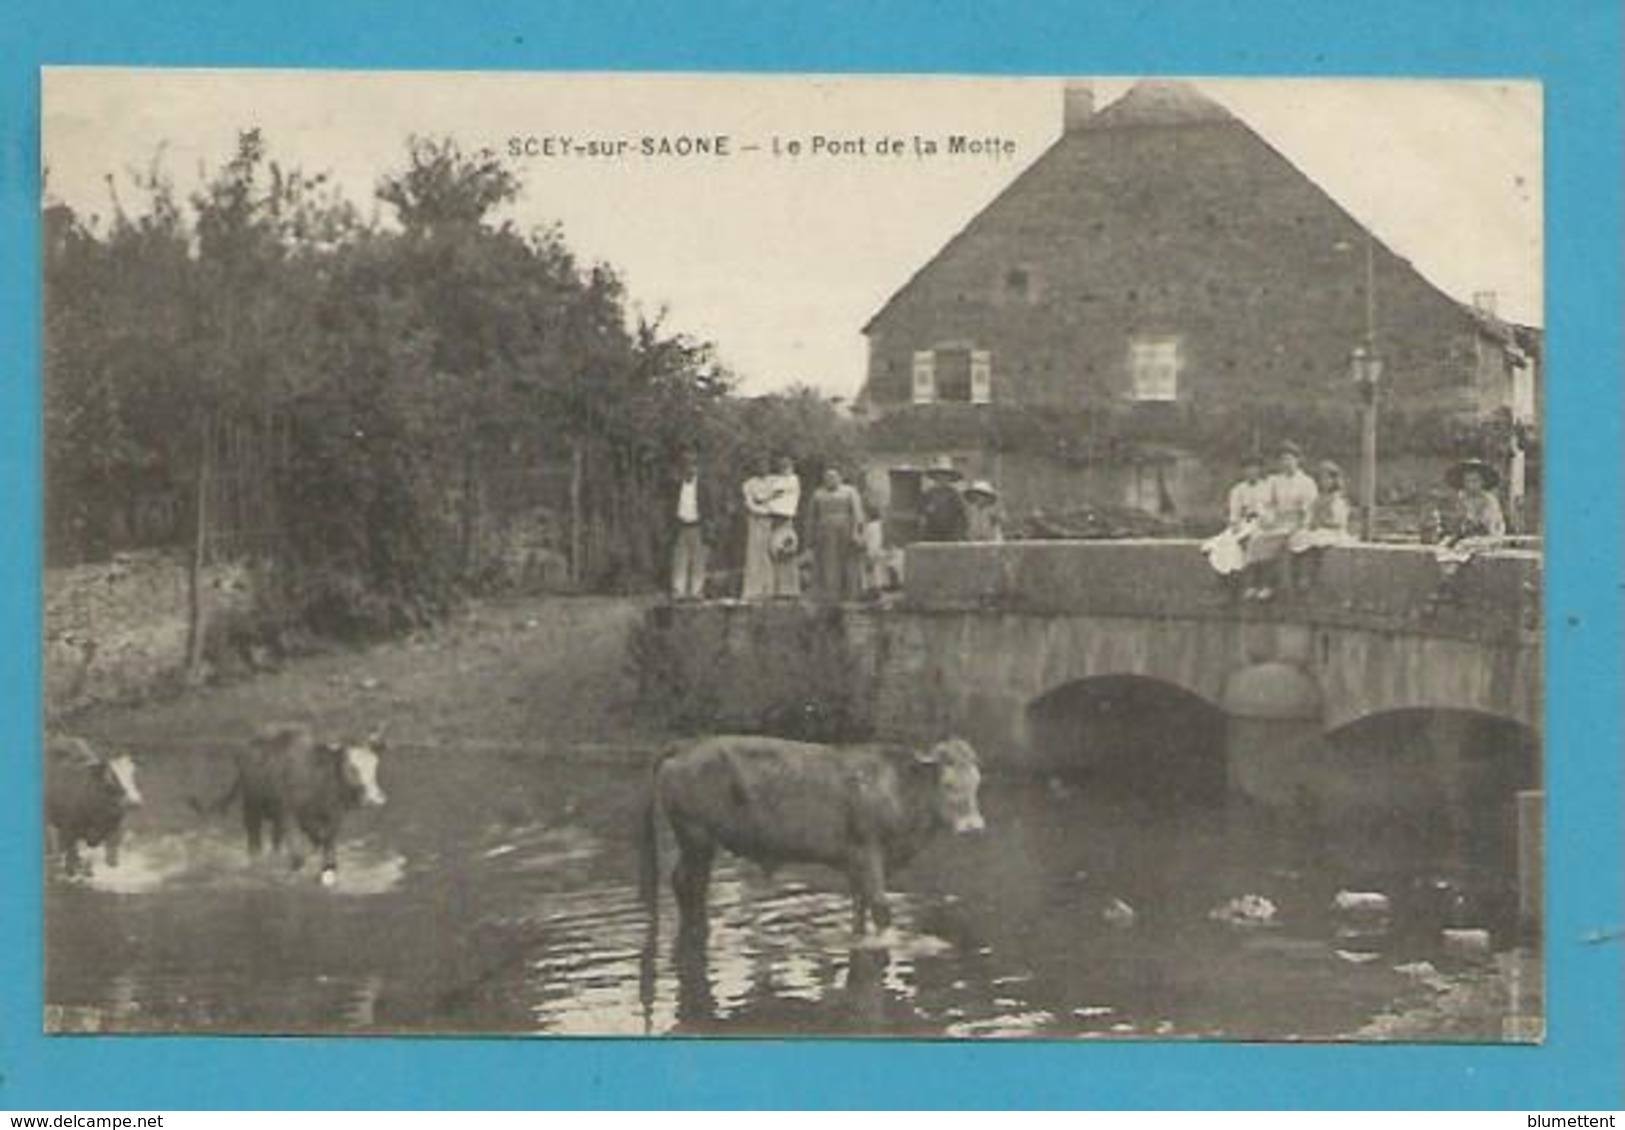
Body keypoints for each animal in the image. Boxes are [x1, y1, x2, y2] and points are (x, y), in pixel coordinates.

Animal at [43, 738, 143, 877]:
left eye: (132, 775)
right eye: (108, 780)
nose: (134, 801)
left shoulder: (115, 831)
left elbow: (109, 856)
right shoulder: (69, 829)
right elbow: (70, 855)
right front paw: (71, 871)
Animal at [190, 721, 386, 890]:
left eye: (375, 765)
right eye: (351, 767)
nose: (375, 798)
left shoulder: (332, 817)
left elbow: (325, 842)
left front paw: (327, 873)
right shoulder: (290, 814)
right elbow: (303, 849)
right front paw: (296, 870)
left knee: (277, 839)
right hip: (251, 804)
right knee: (254, 837)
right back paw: (258, 861)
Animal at [640, 734, 981, 936]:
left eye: (977, 783)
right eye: (949, 785)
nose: (974, 827)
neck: (896, 788)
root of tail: (687, 746)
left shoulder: (855, 864)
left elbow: (860, 907)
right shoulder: (869, 853)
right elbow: (881, 910)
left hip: (699, 843)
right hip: (695, 837)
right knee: (687, 884)